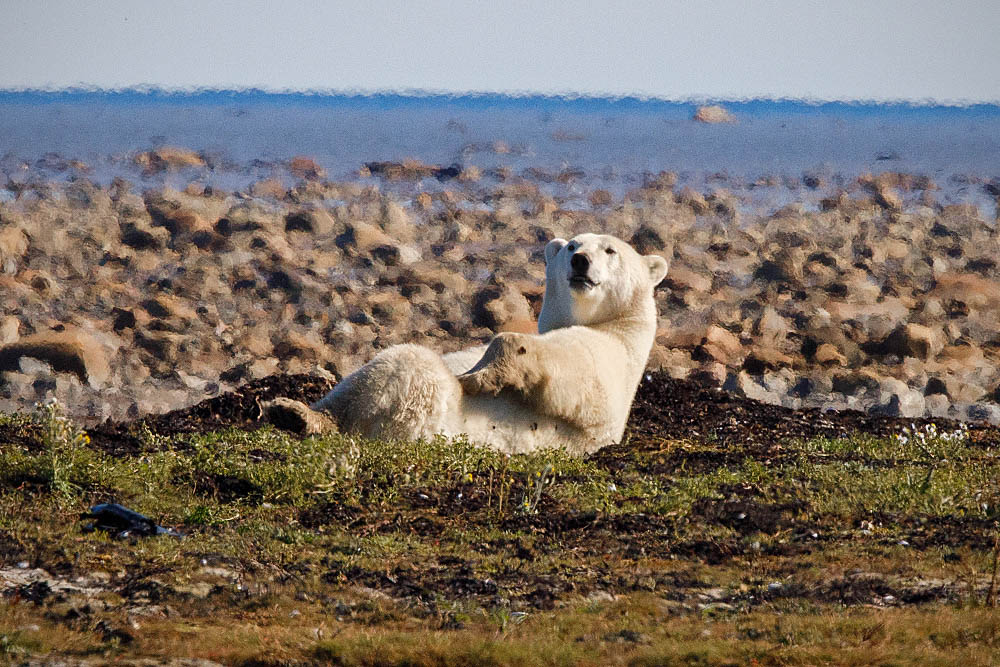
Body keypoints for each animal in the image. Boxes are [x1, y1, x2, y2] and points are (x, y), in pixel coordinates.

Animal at [270, 232, 668, 456]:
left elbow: (573, 371)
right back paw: (292, 411)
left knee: (412, 366)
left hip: (429, 418)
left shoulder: (612, 360)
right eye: (571, 245)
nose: (580, 260)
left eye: (610, 250)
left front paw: (482, 376)